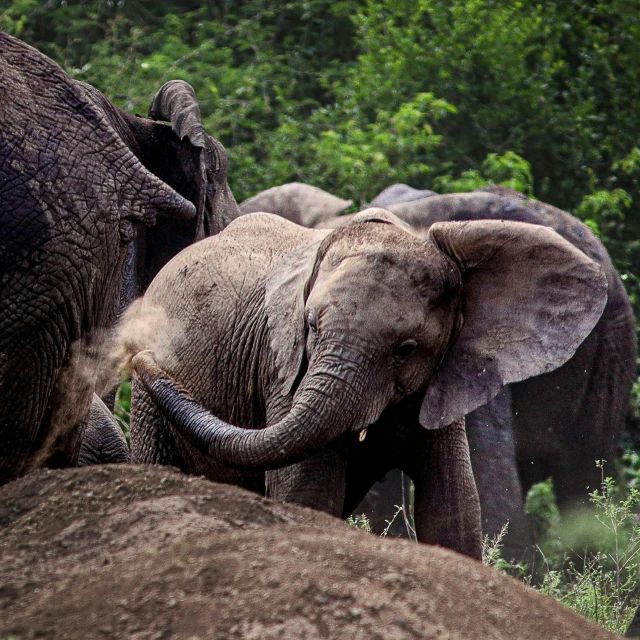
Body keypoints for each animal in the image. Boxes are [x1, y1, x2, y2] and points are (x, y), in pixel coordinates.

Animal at [127, 208, 608, 556]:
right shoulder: (282, 367)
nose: (145, 357)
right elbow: (307, 494)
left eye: (406, 349)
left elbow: (452, 510)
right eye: (311, 327)